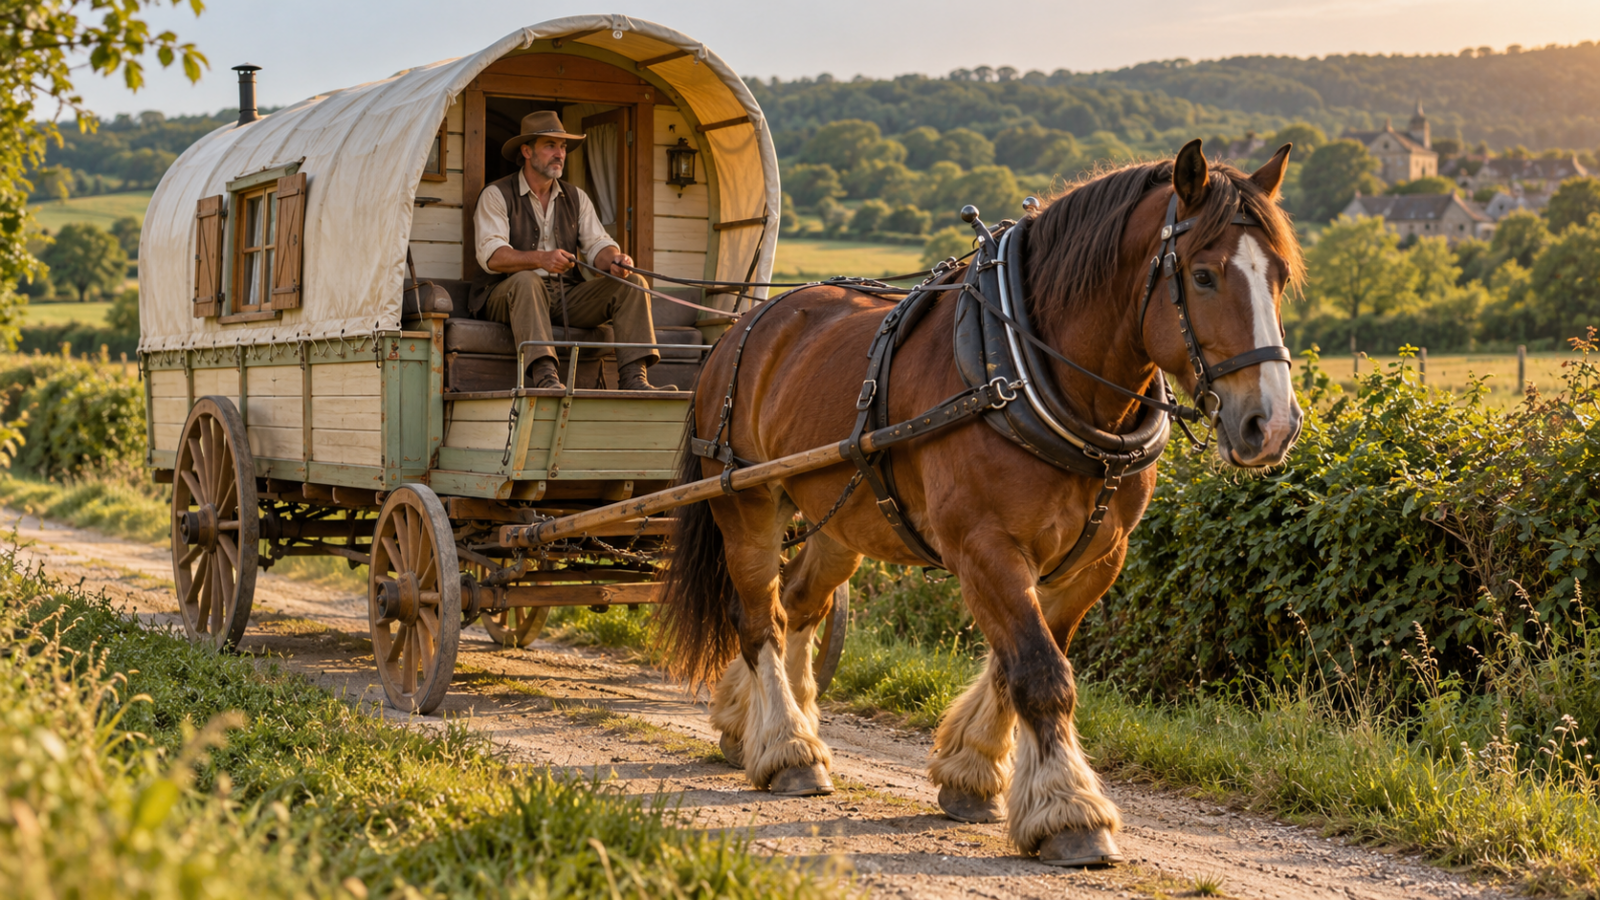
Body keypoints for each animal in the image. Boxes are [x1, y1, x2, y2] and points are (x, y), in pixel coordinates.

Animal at [658, 139, 1305, 865]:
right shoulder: (985, 547)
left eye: (1279, 276)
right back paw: (787, 746)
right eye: (1203, 275)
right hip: (744, 501)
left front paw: (971, 771)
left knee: (796, 605)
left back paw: (751, 723)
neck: (1024, 372)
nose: (1272, 425)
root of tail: (747, 322)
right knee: (758, 620)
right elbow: (1041, 672)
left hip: (840, 517)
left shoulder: (1095, 561)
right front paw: (1070, 812)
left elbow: (1017, 662)